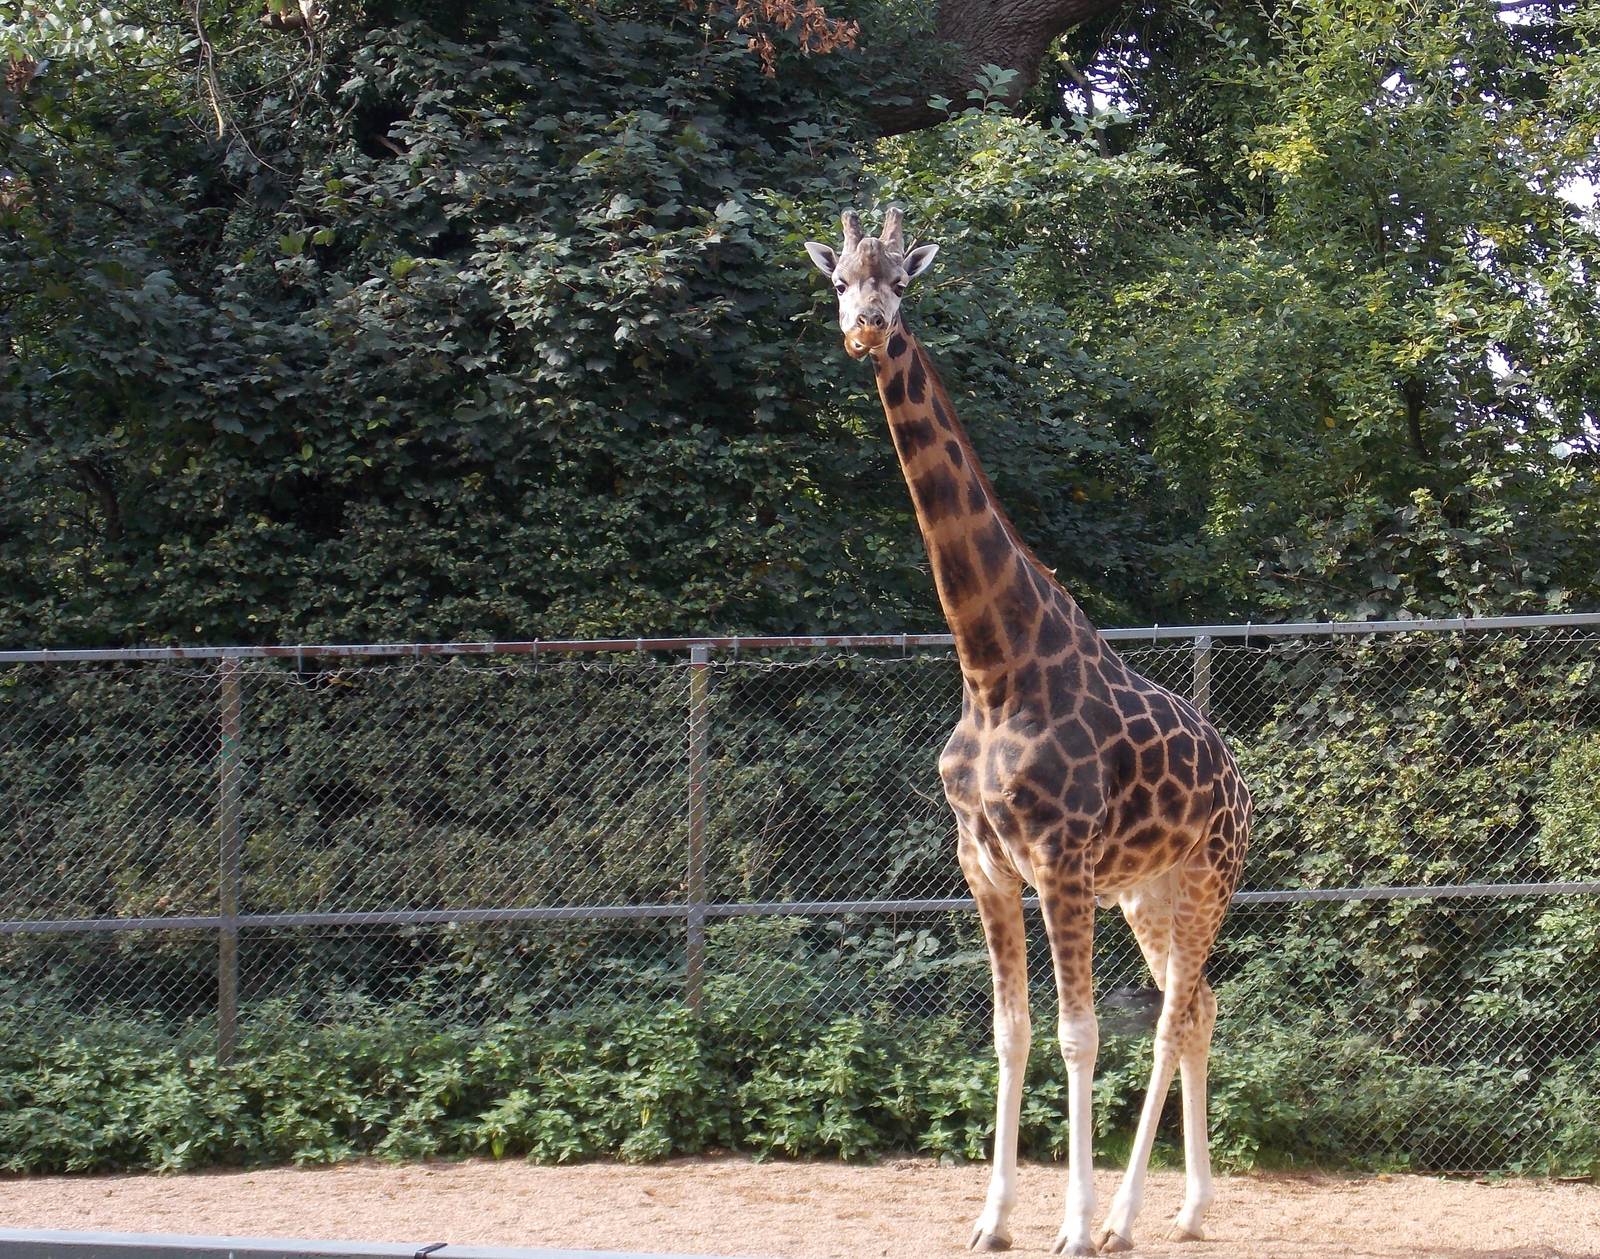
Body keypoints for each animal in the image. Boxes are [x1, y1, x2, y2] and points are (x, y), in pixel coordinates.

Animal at [804, 208, 1251, 1256]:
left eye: (902, 281)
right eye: (838, 281)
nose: (867, 329)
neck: (992, 665)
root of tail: (1243, 781)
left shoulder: (1060, 857)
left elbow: (1078, 1034)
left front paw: (1073, 1226)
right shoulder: (984, 860)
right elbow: (1009, 1032)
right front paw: (993, 1217)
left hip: (1206, 880)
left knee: (1172, 1016)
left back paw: (1126, 1216)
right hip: (1149, 896)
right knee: (1198, 1005)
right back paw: (1186, 1208)